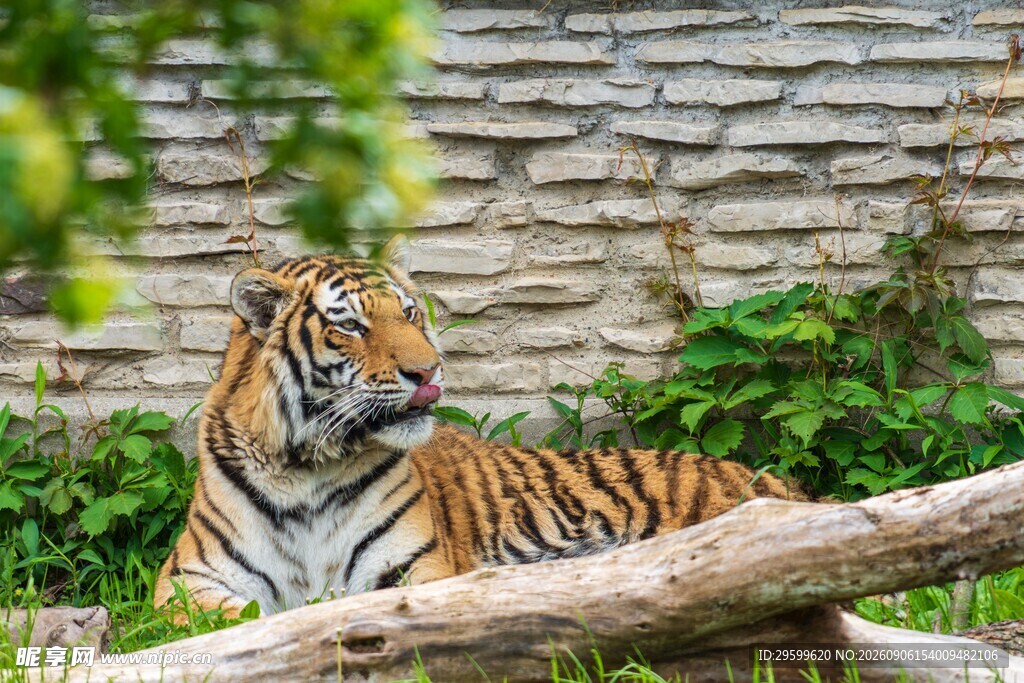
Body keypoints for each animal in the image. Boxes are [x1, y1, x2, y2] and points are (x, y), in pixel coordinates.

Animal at [154, 237, 806, 619]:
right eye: (352, 326)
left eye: (409, 312)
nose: (429, 370)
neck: (308, 467)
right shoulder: (188, 578)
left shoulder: (415, 568)